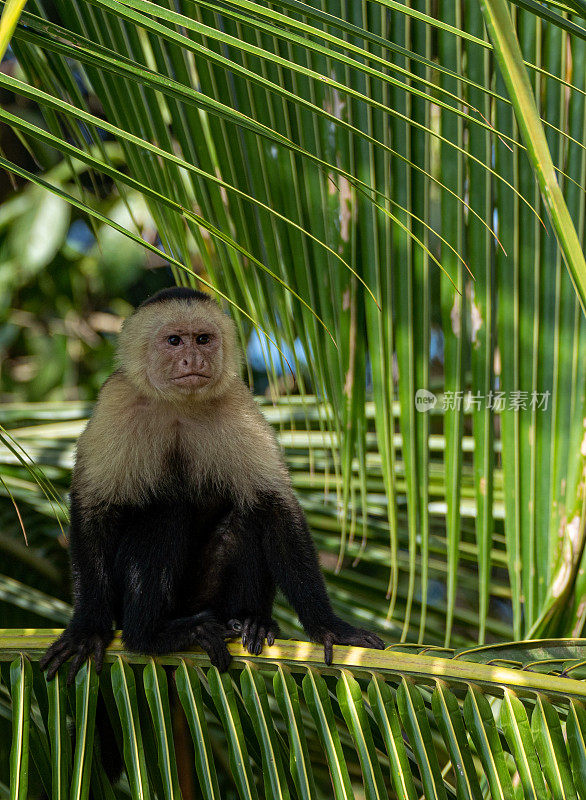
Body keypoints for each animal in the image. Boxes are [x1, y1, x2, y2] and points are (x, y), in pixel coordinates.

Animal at [38, 288, 380, 680]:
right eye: (174, 341)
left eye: (203, 339)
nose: (193, 358)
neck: (177, 406)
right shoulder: (116, 402)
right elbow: (93, 507)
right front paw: (88, 628)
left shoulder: (237, 403)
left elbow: (275, 505)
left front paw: (329, 627)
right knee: (165, 511)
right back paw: (151, 635)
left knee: (247, 515)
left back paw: (251, 621)